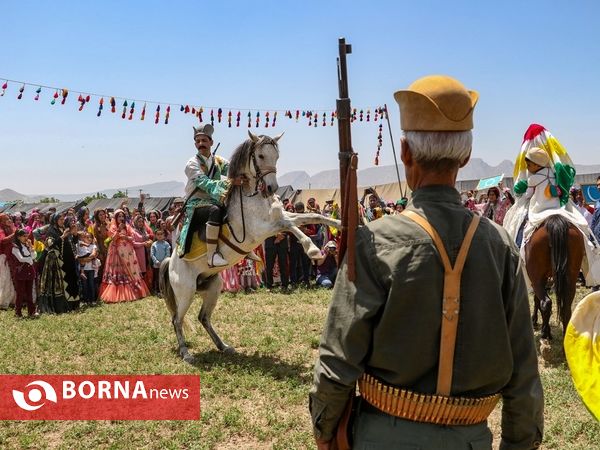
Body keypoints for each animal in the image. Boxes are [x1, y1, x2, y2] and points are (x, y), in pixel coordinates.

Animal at [161, 130, 342, 362]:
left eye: (276, 156)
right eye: (261, 156)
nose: (272, 188)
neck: (252, 199)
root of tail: (171, 261)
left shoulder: (281, 215)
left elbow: (313, 216)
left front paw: (341, 222)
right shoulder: (265, 228)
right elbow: (291, 226)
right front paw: (313, 249)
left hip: (213, 287)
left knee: (203, 317)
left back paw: (223, 346)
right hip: (186, 291)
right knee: (177, 319)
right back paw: (186, 353)